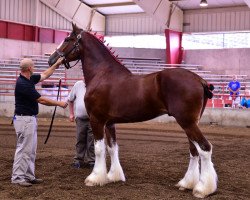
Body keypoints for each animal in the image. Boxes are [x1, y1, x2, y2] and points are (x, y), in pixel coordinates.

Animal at [48, 23, 217, 198]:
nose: (51, 60)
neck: (102, 74)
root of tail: (200, 80)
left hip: (187, 122)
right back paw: (186, 184)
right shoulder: (109, 123)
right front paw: (113, 176)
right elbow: (112, 147)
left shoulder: (97, 119)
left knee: (204, 148)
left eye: (67, 39)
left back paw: (202, 189)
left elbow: (99, 149)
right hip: (191, 123)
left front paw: (94, 178)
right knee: (194, 150)